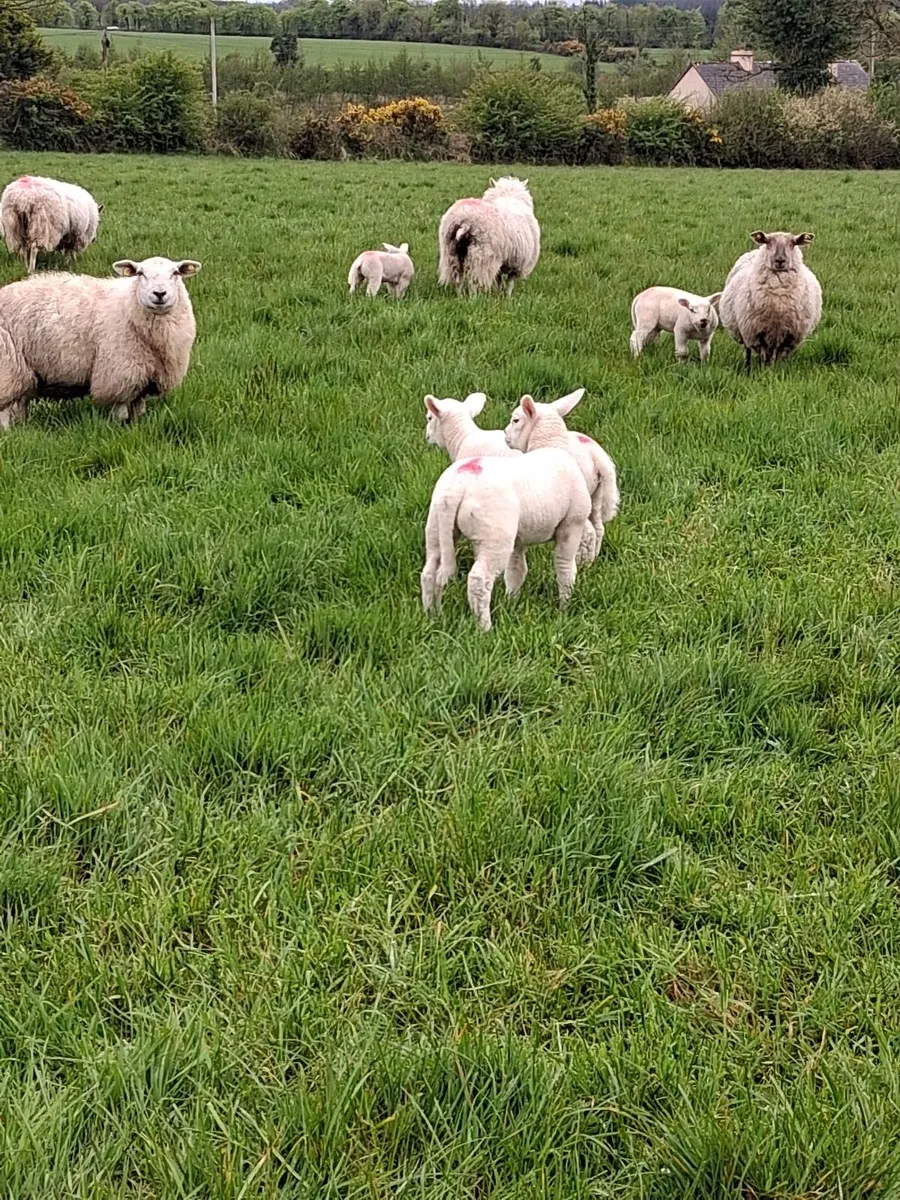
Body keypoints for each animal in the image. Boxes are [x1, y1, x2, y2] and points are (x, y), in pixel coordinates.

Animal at [0, 256, 201, 428]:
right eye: (140, 273)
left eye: (175, 273)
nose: (159, 293)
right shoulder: (118, 374)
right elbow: (120, 413)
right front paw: (118, 430)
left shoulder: (143, 377)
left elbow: (138, 410)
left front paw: (137, 428)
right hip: (8, 364)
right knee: (5, 410)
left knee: (21, 403)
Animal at [421, 392, 591, 632]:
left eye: (515, 420)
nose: (506, 436)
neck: (551, 447)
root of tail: (456, 488)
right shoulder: (571, 525)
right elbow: (565, 567)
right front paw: (565, 607)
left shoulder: (519, 537)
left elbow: (516, 570)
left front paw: (513, 602)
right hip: (495, 535)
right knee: (479, 580)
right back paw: (485, 629)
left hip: (437, 526)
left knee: (430, 572)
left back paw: (431, 616)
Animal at [424, 389, 619, 564]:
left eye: (429, 417)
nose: (426, 437)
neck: (462, 438)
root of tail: (596, 453)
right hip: (596, 494)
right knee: (598, 527)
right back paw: (591, 561)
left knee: (588, 531)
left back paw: (581, 562)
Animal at [718, 231, 822, 369]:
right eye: (768, 242)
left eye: (792, 244)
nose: (780, 260)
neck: (779, 294)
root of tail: (755, 250)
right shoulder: (758, 334)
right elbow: (764, 357)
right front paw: (765, 370)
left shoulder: (789, 337)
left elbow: (780, 357)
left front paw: (778, 370)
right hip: (744, 330)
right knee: (748, 350)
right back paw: (747, 366)